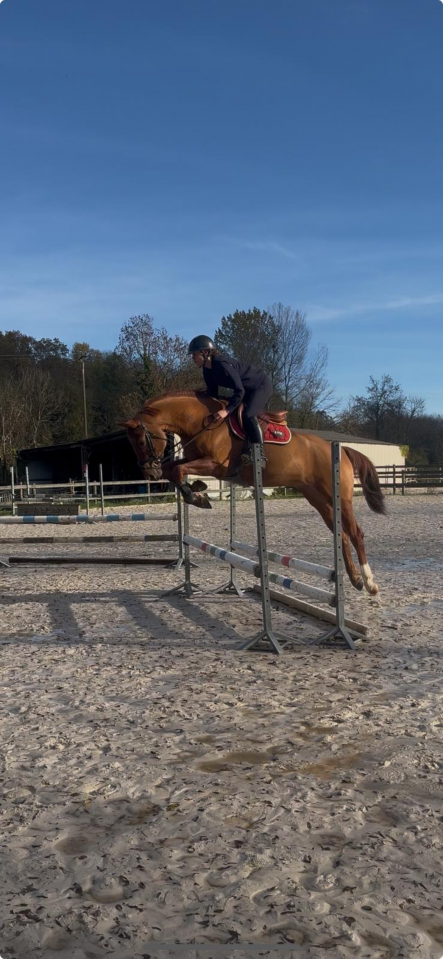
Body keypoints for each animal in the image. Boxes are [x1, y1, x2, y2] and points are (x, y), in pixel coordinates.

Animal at [122, 390, 385, 596]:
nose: (150, 474)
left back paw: (370, 583)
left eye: (142, 441)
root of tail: (342, 450)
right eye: (132, 444)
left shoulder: (217, 465)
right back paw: (355, 579)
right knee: (341, 534)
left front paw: (197, 495)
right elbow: (173, 469)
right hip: (317, 499)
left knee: (356, 533)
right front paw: (198, 491)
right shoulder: (197, 460)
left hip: (339, 497)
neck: (201, 421)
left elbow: (177, 470)